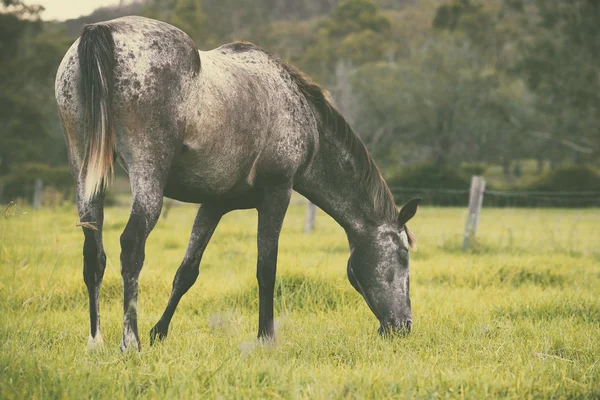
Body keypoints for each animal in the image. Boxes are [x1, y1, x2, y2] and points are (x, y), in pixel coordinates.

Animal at [57, 15, 422, 352]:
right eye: (403, 254)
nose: (403, 326)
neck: (302, 117)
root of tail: (104, 30)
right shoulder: (277, 193)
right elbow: (266, 268)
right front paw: (266, 338)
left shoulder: (213, 204)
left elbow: (187, 272)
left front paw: (159, 332)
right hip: (147, 174)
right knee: (132, 246)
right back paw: (129, 342)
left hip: (85, 169)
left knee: (93, 254)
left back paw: (96, 341)